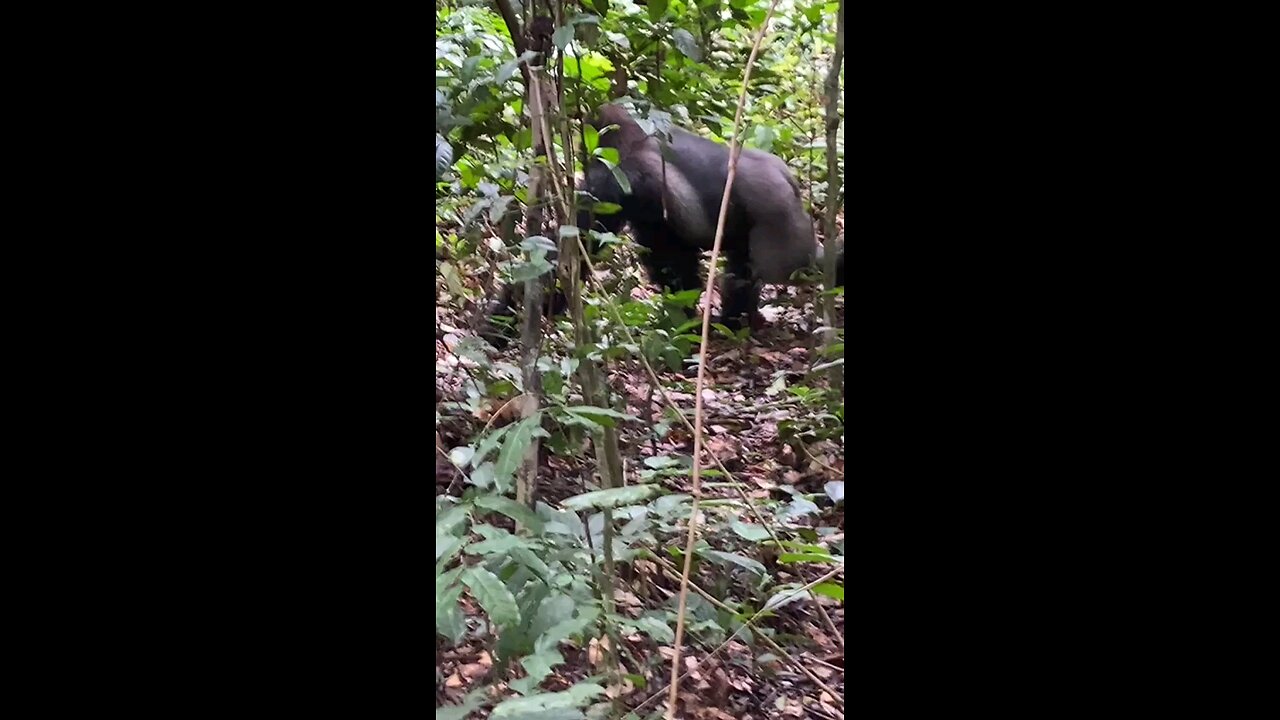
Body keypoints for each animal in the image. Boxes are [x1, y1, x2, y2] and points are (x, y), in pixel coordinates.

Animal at [483, 102, 844, 343]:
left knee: (793, 267)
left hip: (781, 226)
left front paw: (502, 320)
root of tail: (789, 181)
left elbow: (573, 256)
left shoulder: (616, 182)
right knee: (743, 270)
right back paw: (734, 321)